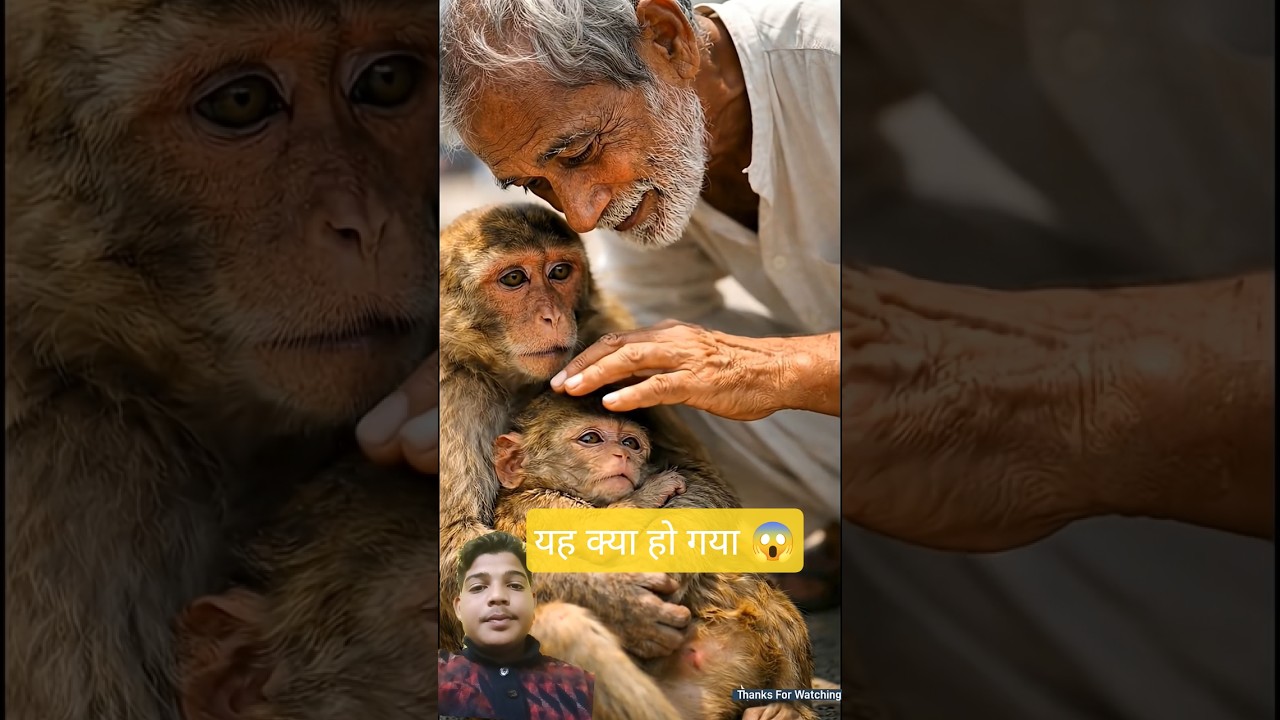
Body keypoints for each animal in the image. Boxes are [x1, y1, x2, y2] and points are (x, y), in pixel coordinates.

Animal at [489, 390, 820, 720]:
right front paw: (651, 491)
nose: (622, 455)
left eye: (631, 443)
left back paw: (788, 706)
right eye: (591, 438)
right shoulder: (545, 506)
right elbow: (600, 536)